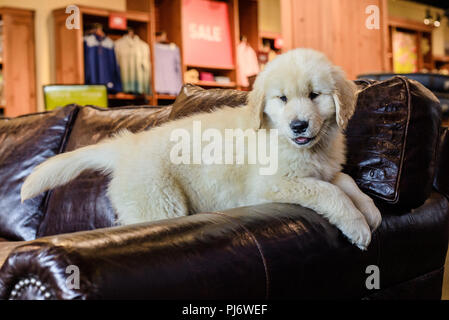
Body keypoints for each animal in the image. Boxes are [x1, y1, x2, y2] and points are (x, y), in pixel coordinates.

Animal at [20, 49, 378, 250]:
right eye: (283, 99)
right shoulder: (274, 185)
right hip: (160, 204)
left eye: (315, 95)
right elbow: (329, 192)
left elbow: (345, 182)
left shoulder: (325, 169)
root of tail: (130, 144)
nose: (299, 125)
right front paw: (358, 226)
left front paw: (371, 211)